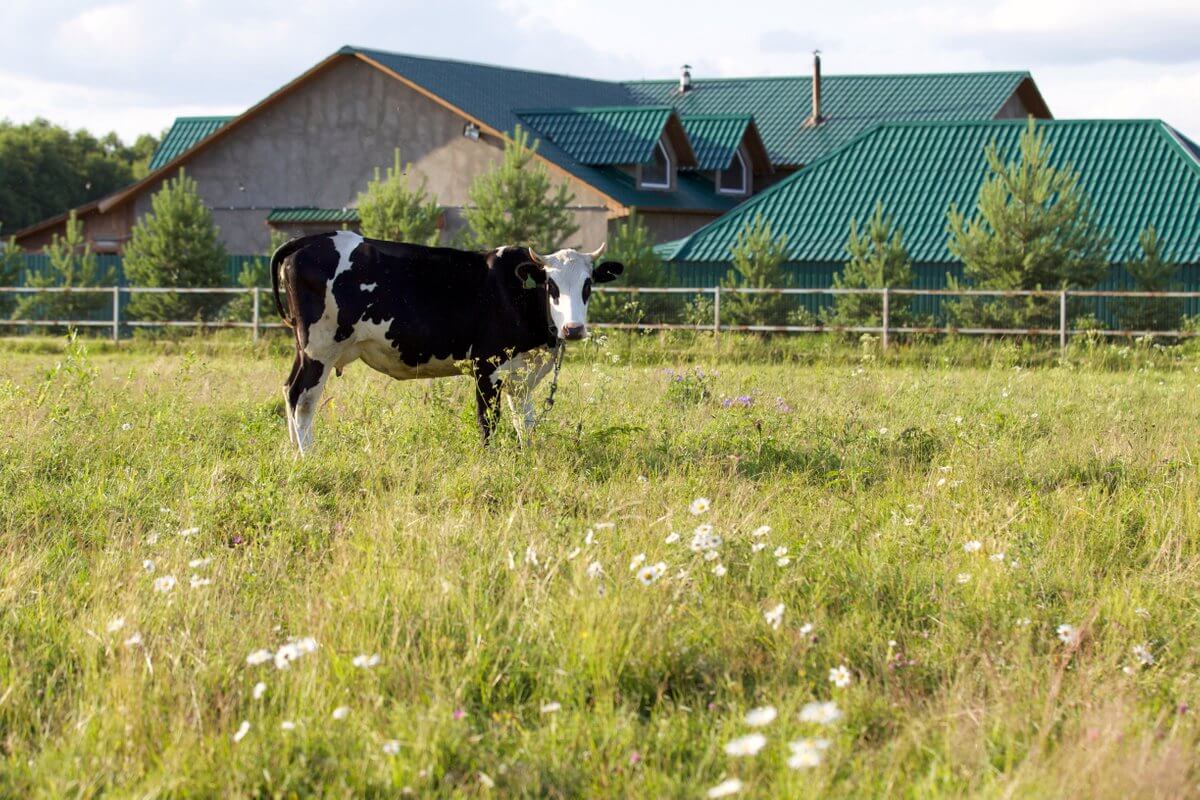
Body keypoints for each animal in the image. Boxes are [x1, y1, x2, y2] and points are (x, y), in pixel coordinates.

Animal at [270, 232, 628, 455]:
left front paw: (527, 459)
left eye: (587, 284)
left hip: (305, 350)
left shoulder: (521, 376)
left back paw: (292, 452)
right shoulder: (486, 368)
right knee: (303, 399)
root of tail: (312, 239)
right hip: (320, 349)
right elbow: (488, 422)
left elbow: (524, 424)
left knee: (288, 390)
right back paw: (309, 455)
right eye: (551, 285)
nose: (573, 329)